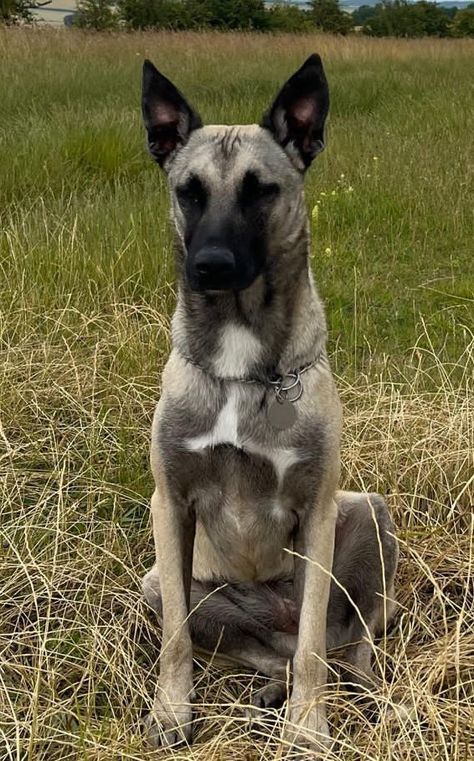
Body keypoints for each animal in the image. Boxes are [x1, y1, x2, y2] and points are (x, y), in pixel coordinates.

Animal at [139, 55, 398, 756]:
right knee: (265, 653)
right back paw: (268, 689)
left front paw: (309, 724)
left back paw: (358, 690)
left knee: (342, 643)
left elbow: (313, 648)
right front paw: (171, 712)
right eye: (189, 191)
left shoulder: (316, 512)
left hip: (370, 517)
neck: (240, 366)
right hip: (161, 584)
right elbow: (176, 642)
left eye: (261, 190)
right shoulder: (171, 504)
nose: (210, 266)